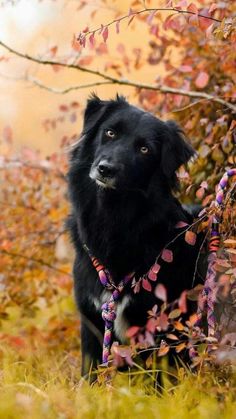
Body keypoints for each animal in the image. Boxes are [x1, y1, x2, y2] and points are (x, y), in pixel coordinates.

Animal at [67, 94, 204, 378]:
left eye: (144, 150)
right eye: (110, 132)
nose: (105, 169)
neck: (113, 215)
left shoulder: (163, 324)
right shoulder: (92, 319)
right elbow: (91, 372)